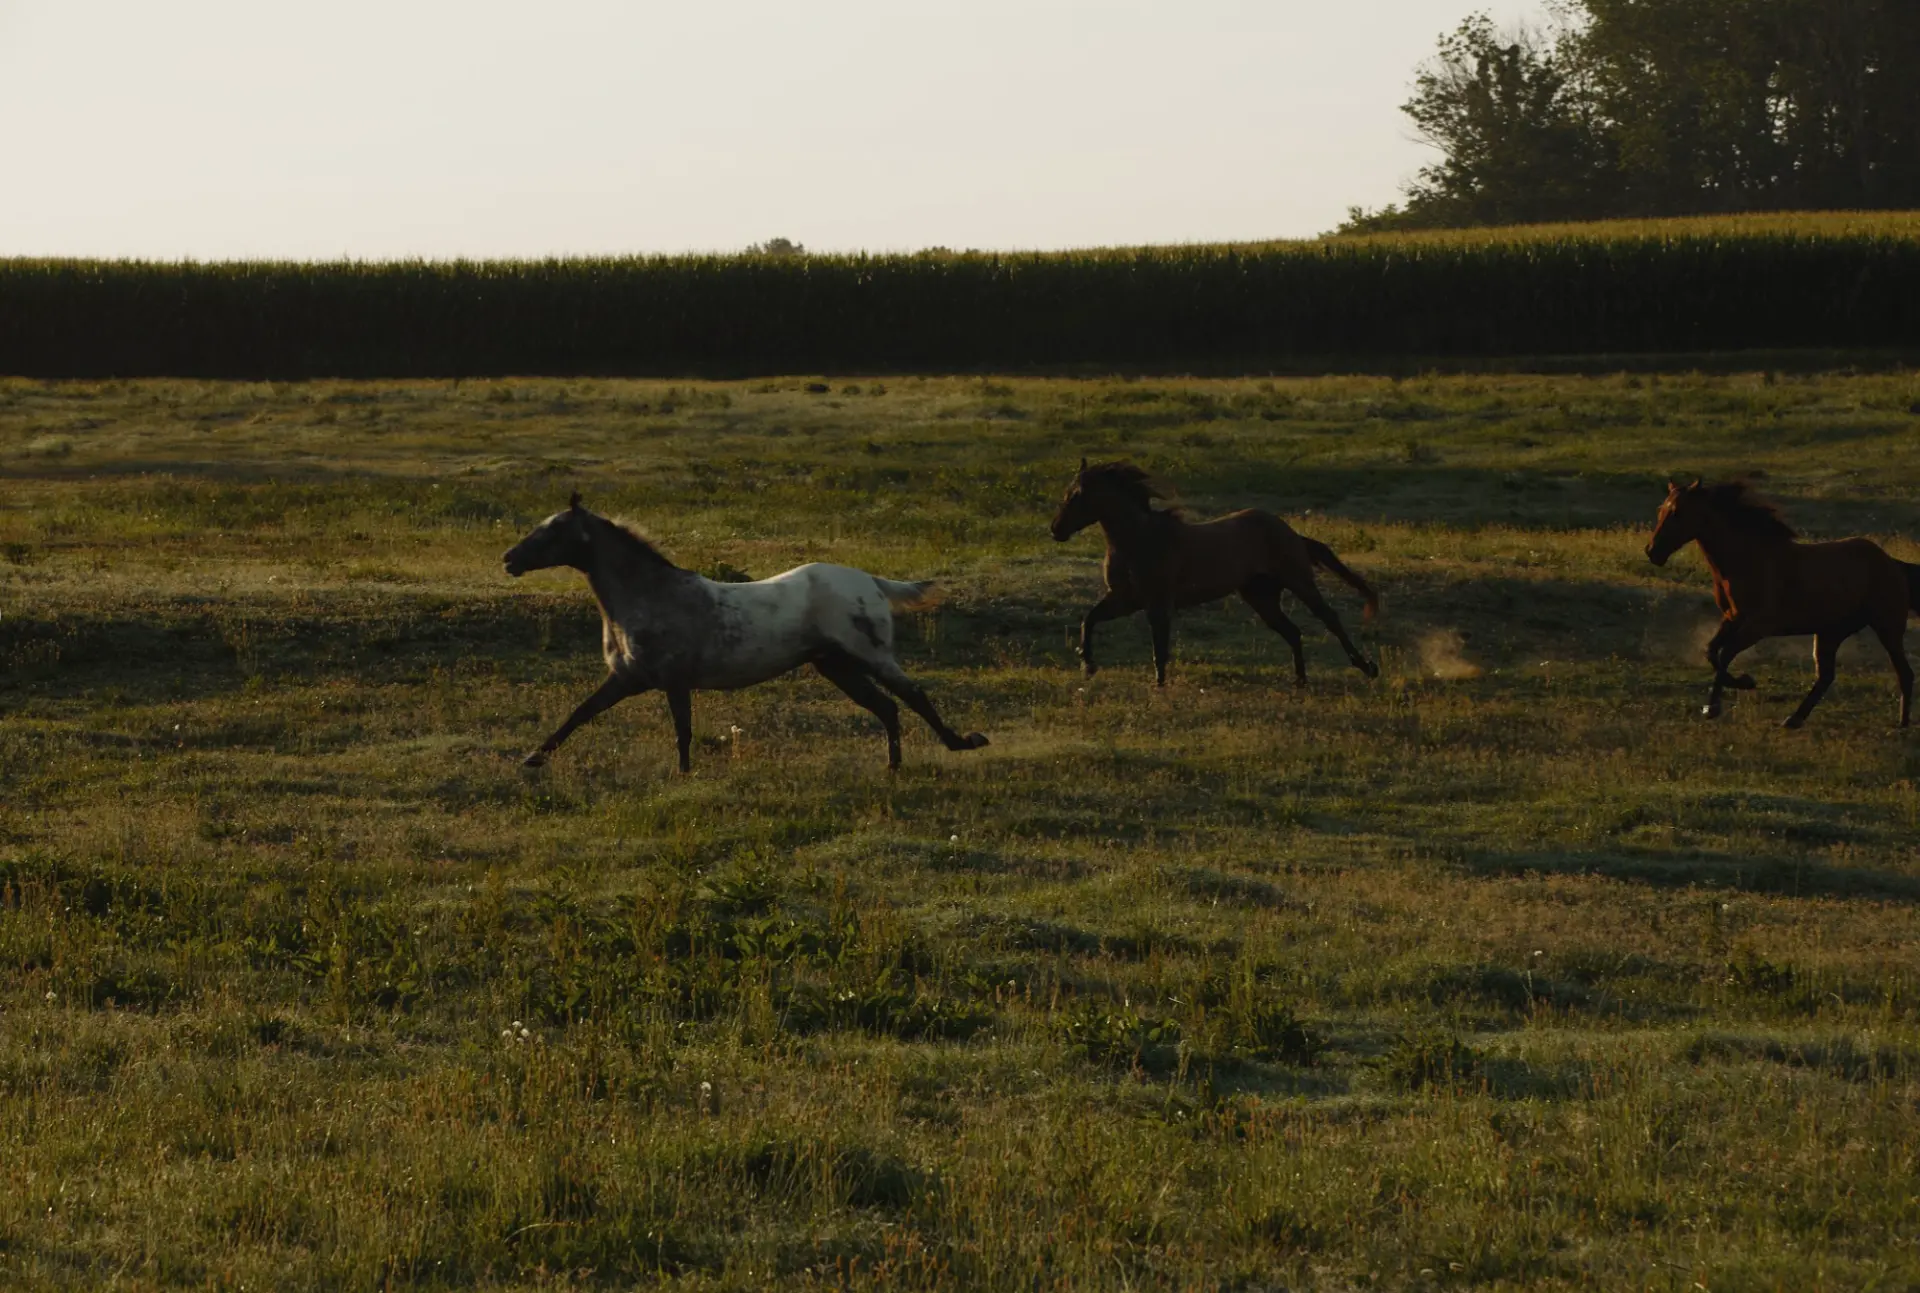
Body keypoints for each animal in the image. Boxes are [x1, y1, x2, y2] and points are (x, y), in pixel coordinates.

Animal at [502, 494, 989, 771]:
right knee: (887, 707)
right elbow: (579, 714)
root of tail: (871, 581)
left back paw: (962, 743)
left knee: (913, 696)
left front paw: (684, 775)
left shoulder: (673, 680)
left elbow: (683, 730)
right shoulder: (627, 679)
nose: (509, 558)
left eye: (552, 531)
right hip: (836, 667)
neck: (649, 596)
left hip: (870, 656)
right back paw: (894, 767)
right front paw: (532, 759)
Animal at [1048, 460, 1380, 687]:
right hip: (1261, 597)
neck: (1139, 540)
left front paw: (1159, 686)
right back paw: (1300, 681)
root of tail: (1291, 532)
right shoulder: (1124, 600)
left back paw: (1367, 667)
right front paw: (1088, 666)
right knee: (1292, 631)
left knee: (1330, 619)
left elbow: (1159, 647)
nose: (1055, 530)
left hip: (1299, 581)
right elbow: (1089, 619)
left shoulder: (1158, 602)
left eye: (1077, 494)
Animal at [1645, 478, 1919, 728]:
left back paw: (1902, 724)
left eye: (1677, 512)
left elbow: (1726, 653)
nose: (1651, 551)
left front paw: (1736, 689)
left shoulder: (1758, 626)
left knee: (1904, 672)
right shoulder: (1732, 618)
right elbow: (1711, 651)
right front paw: (1718, 701)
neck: (1746, 561)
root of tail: (1892, 563)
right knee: (1826, 676)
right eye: (1660, 510)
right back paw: (1794, 719)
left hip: (1886, 627)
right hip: (1830, 632)